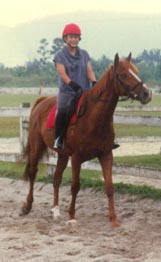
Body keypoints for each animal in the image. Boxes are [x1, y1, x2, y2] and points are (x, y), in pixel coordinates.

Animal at [21, 52, 151, 225]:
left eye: (136, 71)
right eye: (123, 75)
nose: (147, 94)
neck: (93, 117)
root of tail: (41, 102)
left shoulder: (106, 155)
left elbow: (109, 187)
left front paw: (114, 219)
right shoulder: (77, 158)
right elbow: (75, 186)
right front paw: (71, 216)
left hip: (62, 155)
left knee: (56, 179)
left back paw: (55, 210)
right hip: (37, 147)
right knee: (33, 173)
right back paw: (27, 206)